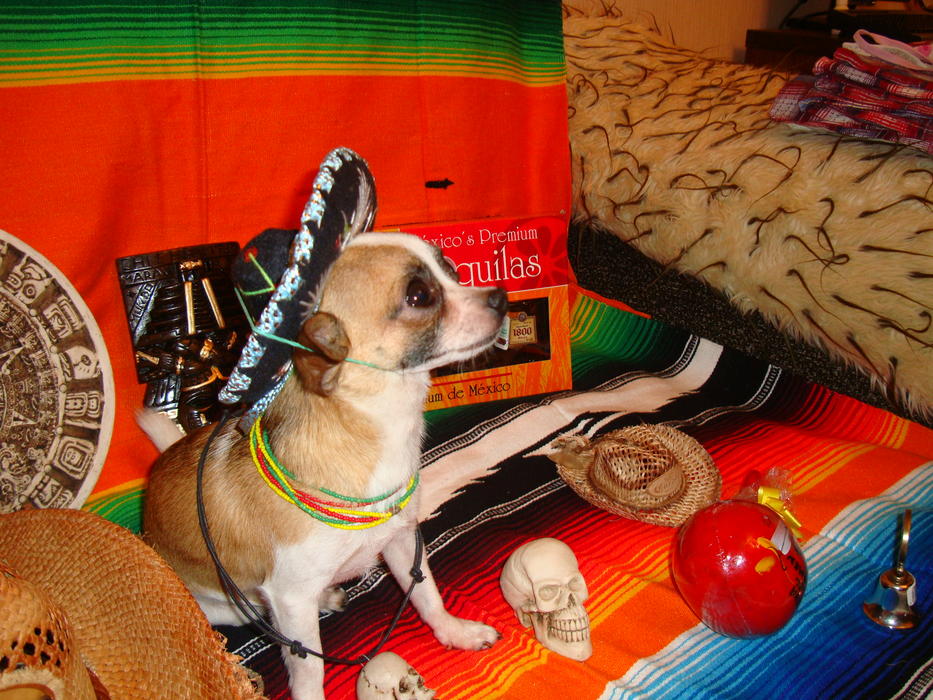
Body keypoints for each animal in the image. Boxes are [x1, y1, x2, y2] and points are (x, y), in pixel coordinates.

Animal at [143, 232, 505, 699]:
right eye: (418, 295)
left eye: (454, 271)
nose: (500, 296)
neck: (385, 427)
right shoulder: (290, 600)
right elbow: (308, 670)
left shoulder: (402, 541)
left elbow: (426, 594)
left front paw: (454, 633)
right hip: (229, 606)